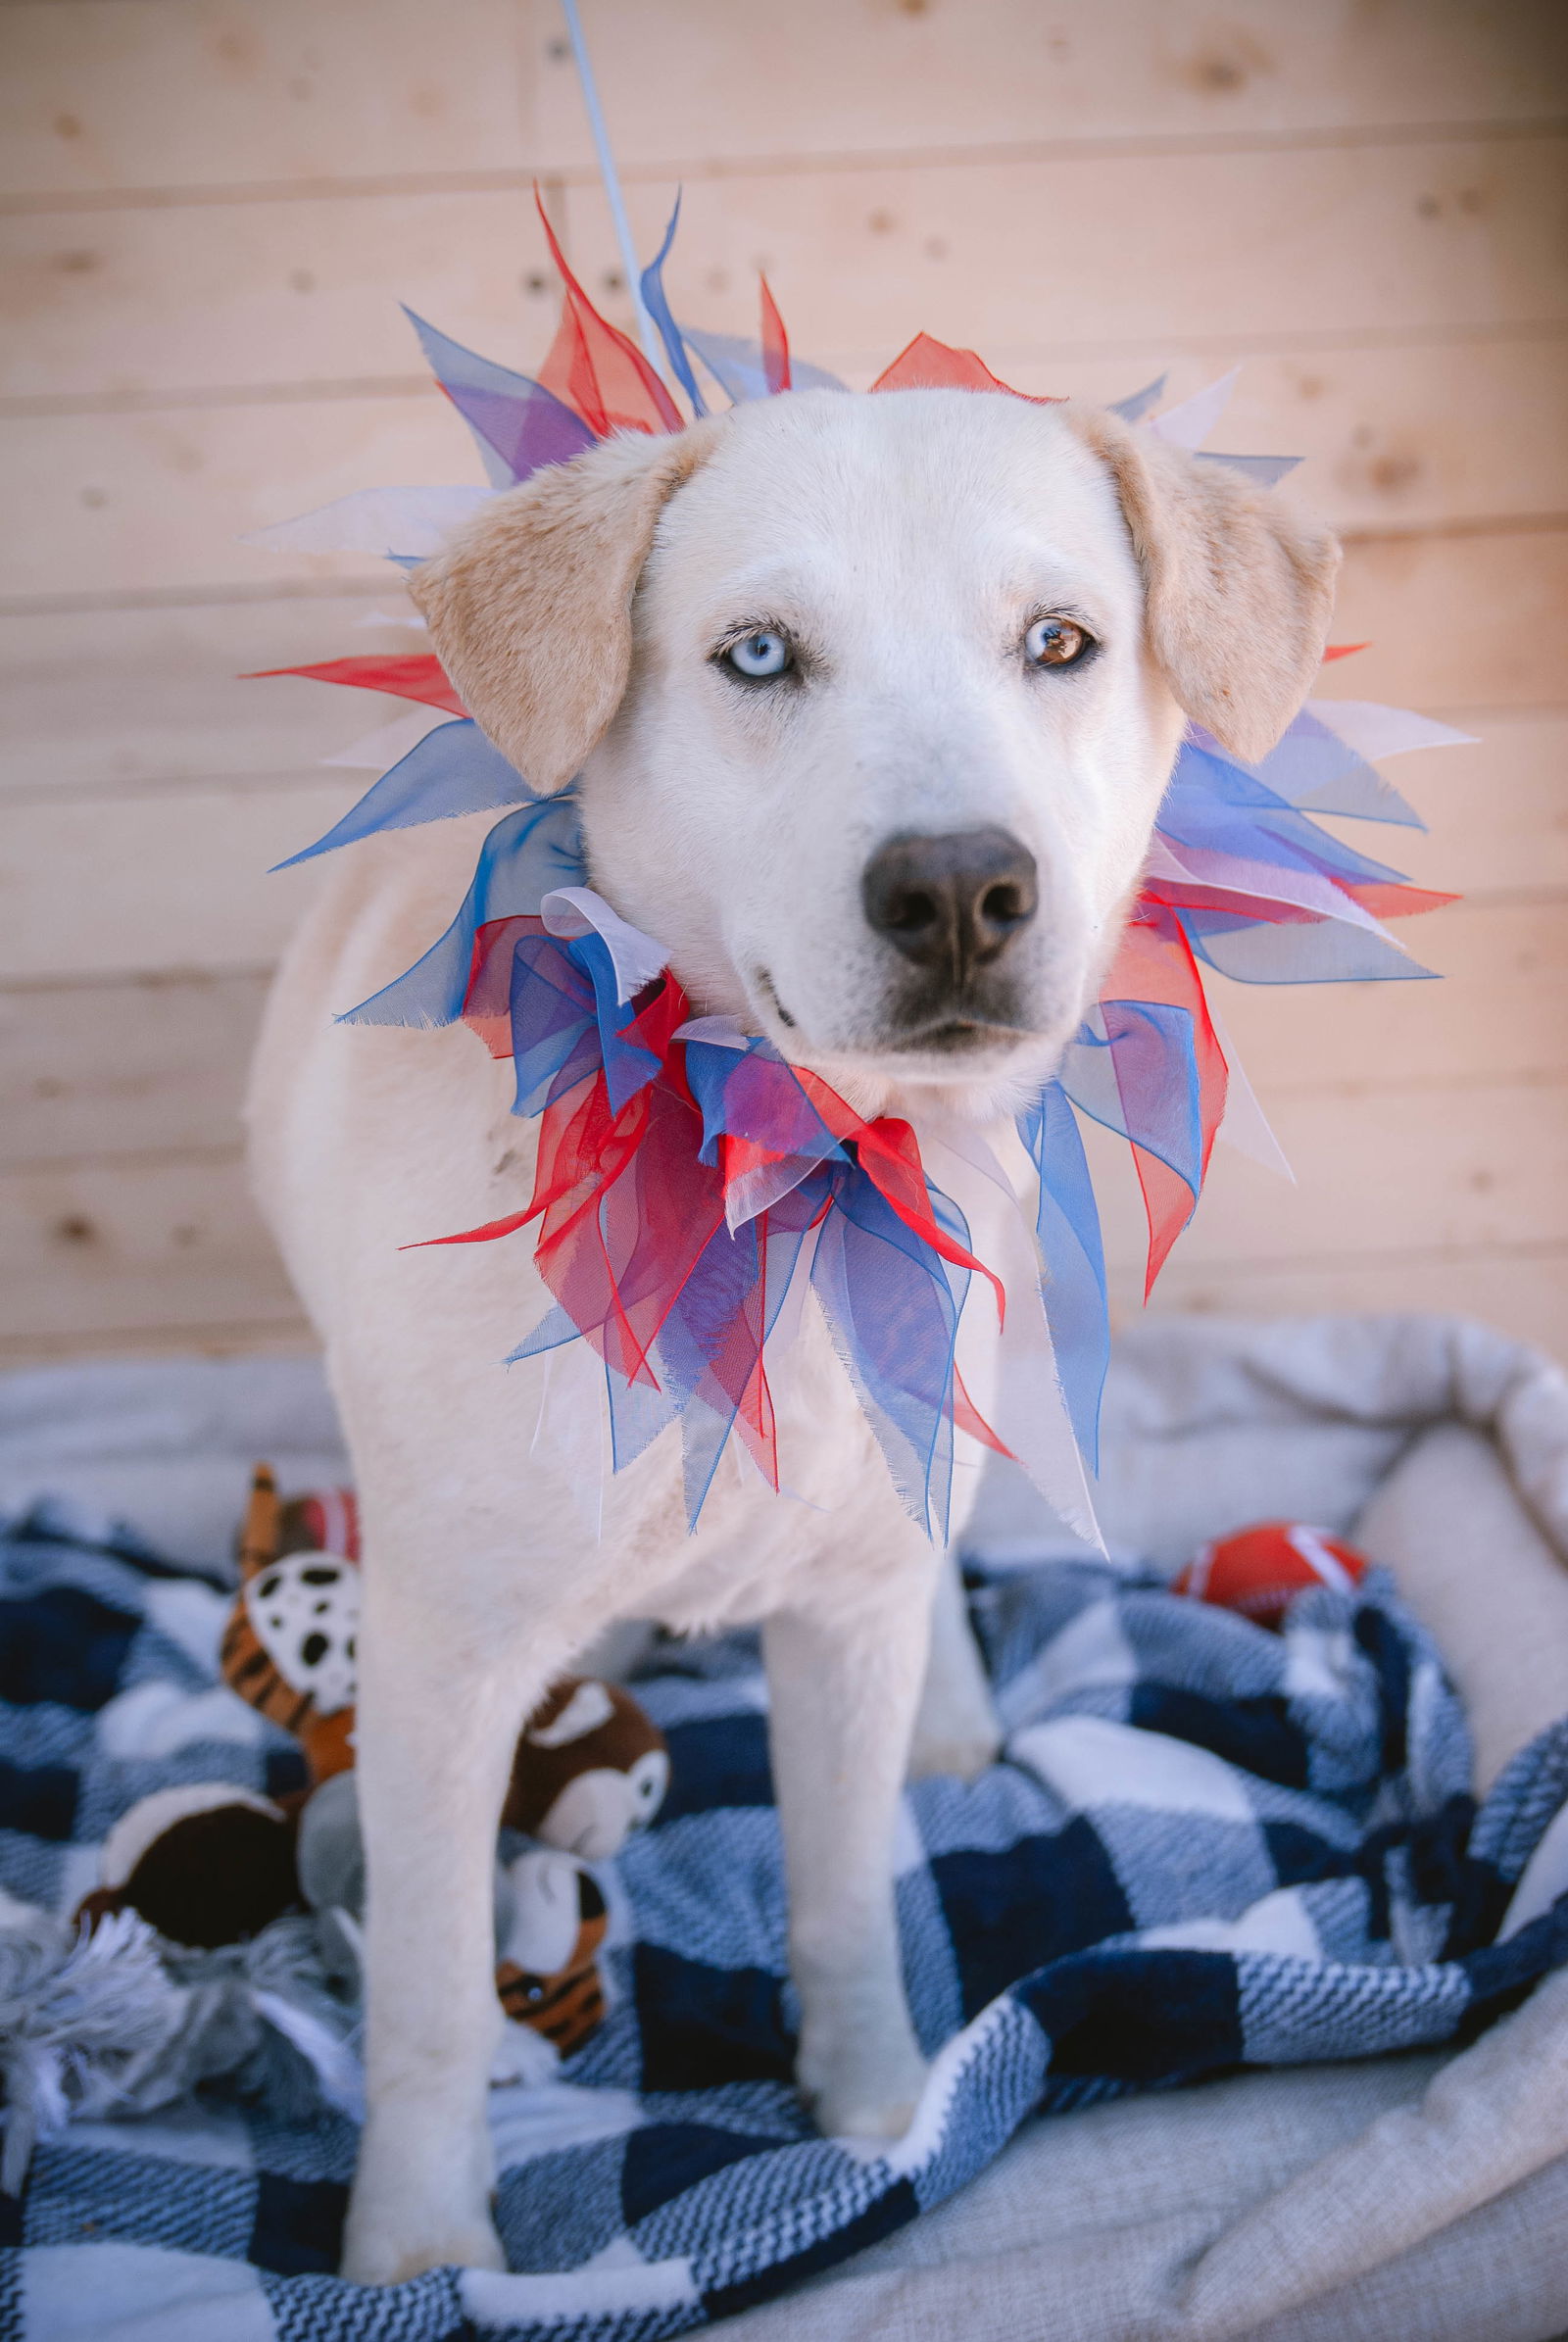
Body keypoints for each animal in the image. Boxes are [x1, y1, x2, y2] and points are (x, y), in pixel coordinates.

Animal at [244, 388, 1331, 2285]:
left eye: (1061, 642)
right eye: (758, 655)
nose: (963, 888)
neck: (787, 1177)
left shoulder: (839, 1625)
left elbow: (840, 1895)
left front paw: (883, 2118)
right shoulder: (443, 1669)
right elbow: (435, 1998)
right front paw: (419, 2250)